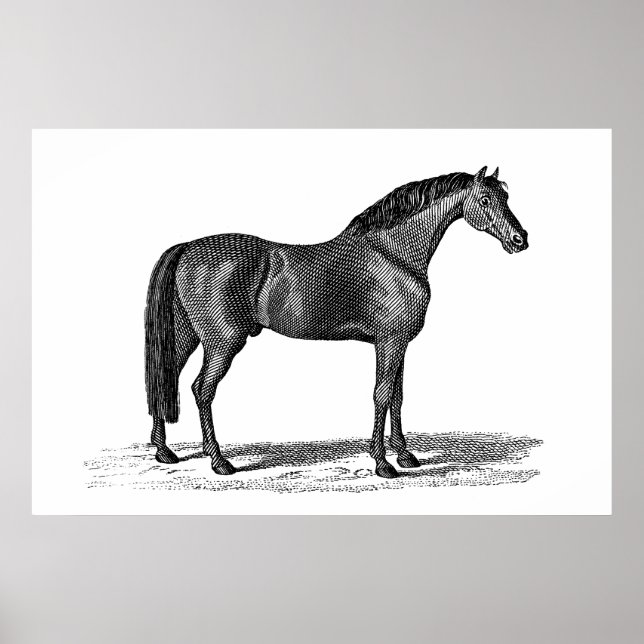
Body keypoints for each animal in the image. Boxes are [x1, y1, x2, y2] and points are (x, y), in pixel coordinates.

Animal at [144, 166, 528, 479]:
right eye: (484, 199)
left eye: (505, 197)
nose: (520, 239)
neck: (395, 254)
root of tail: (187, 247)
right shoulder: (389, 341)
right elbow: (381, 395)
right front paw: (383, 463)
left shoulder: (399, 344)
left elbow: (398, 396)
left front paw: (404, 455)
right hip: (223, 343)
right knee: (202, 390)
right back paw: (219, 461)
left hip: (185, 338)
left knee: (167, 378)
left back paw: (165, 452)